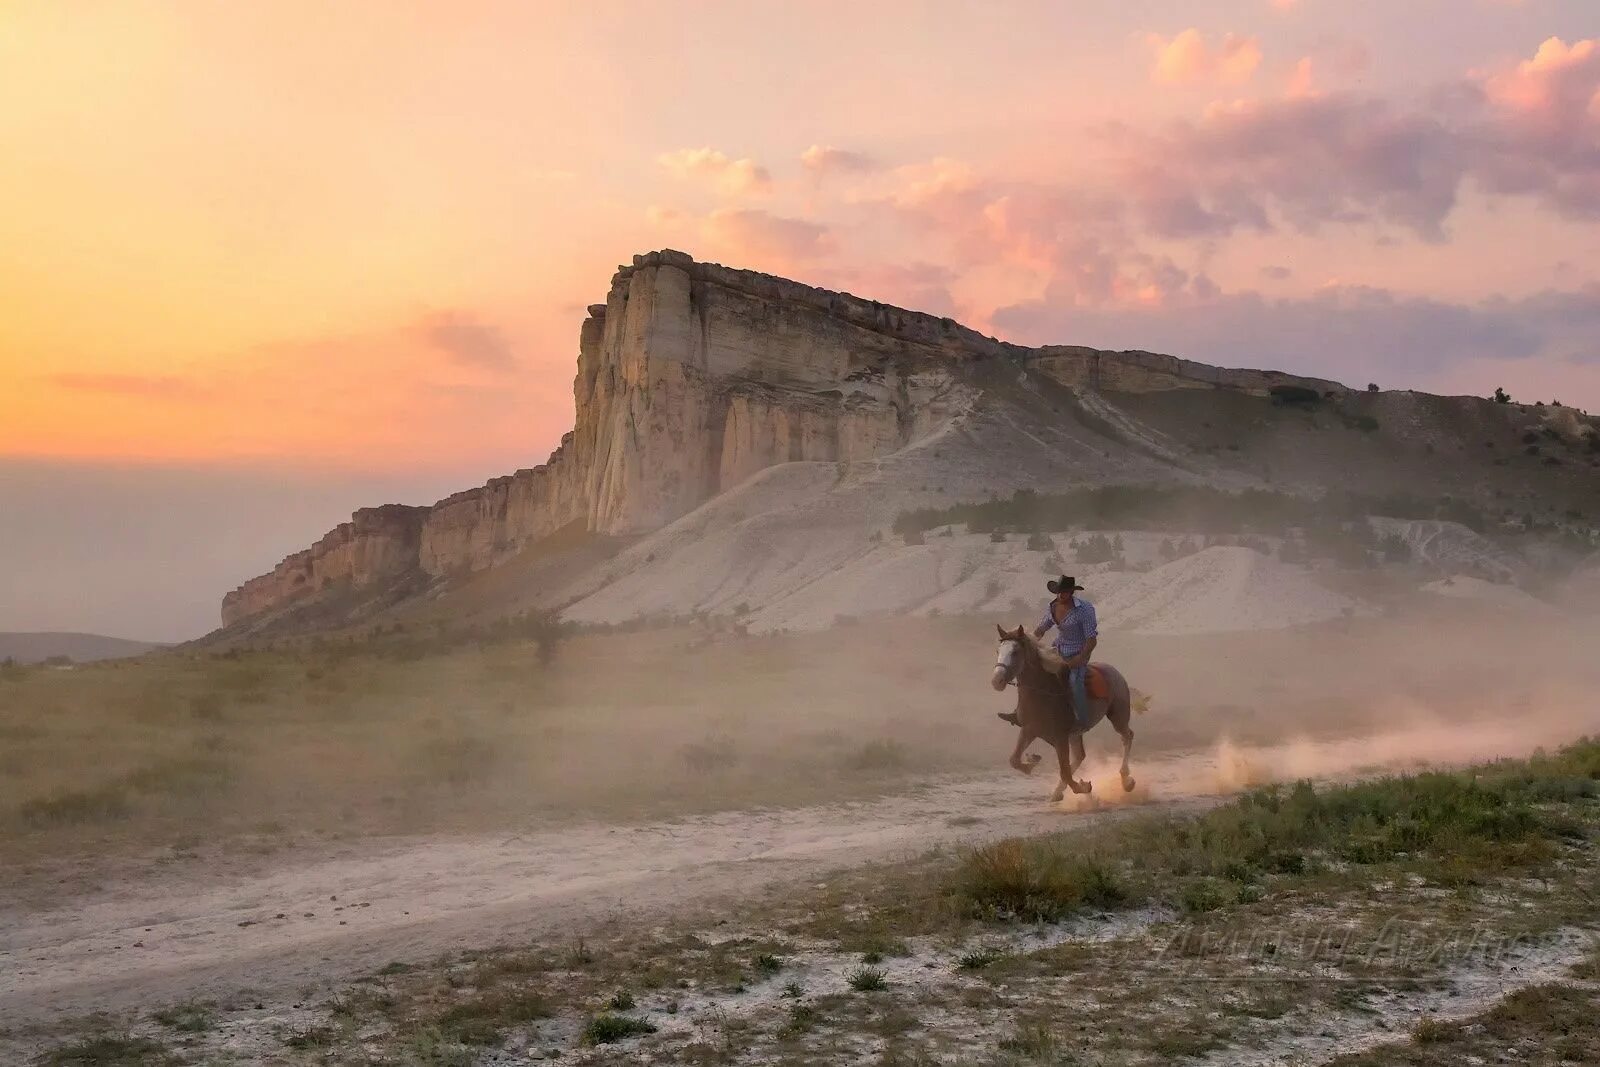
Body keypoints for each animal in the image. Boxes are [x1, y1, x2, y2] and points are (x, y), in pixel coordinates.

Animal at [985, 627, 1139, 799]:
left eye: (1015, 652)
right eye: (998, 650)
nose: (996, 681)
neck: (1043, 693)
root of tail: (1114, 672)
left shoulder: (1060, 737)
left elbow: (1064, 772)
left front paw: (1082, 787)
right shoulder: (1029, 730)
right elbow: (1014, 760)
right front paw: (1033, 761)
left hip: (1118, 716)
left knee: (1127, 736)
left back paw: (1126, 781)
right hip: (1076, 734)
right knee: (1080, 755)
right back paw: (1058, 791)